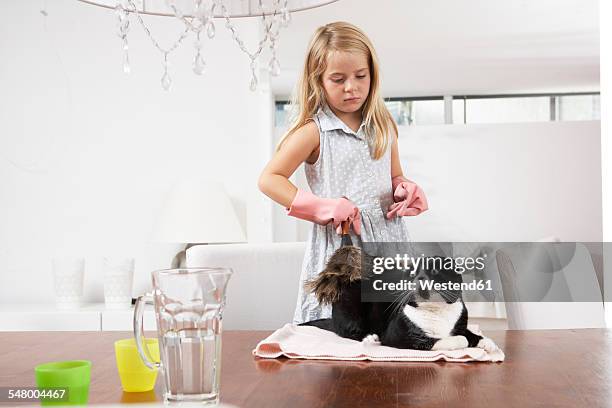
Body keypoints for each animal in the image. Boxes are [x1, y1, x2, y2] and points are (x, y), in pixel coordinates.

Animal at [298, 253, 500, 352]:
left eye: (435, 271)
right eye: (412, 273)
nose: (419, 278)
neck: (436, 310)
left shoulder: (459, 323)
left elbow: (470, 333)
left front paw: (488, 343)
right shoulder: (398, 335)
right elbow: (448, 340)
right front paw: (462, 341)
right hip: (351, 310)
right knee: (350, 332)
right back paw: (370, 337)